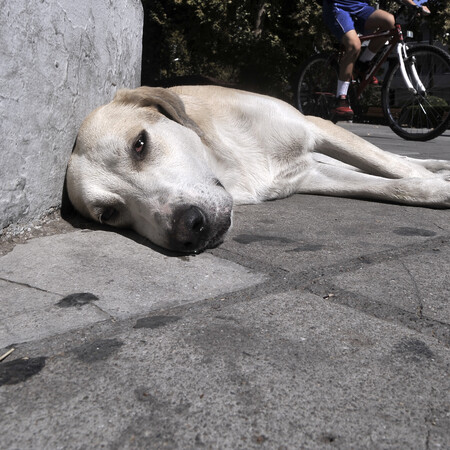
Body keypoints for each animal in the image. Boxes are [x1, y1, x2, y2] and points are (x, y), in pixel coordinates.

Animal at [66, 84, 450, 253]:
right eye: (109, 214)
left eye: (139, 144)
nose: (189, 229)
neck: (231, 164)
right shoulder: (310, 176)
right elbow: (391, 184)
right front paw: (434, 189)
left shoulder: (315, 127)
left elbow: (392, 167)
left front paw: (436, 181)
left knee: (394, 157)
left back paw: (438, 163)